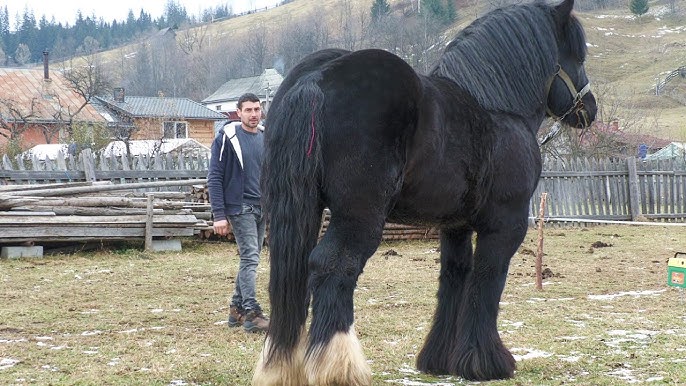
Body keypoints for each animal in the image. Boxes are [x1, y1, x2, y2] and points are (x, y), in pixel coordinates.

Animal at [255, 0, 600, 382]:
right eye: (577, 57)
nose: (590, 109)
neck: (496, 109)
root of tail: (316, 80)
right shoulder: (505, 226)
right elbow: (487, 280)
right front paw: (487, 362)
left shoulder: (455, 227)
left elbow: (454, 277)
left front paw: (440, 359)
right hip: (359, 216)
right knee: (332, 267)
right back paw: (340, 367)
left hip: (301, 210)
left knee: (293, 273)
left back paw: (282, 367)